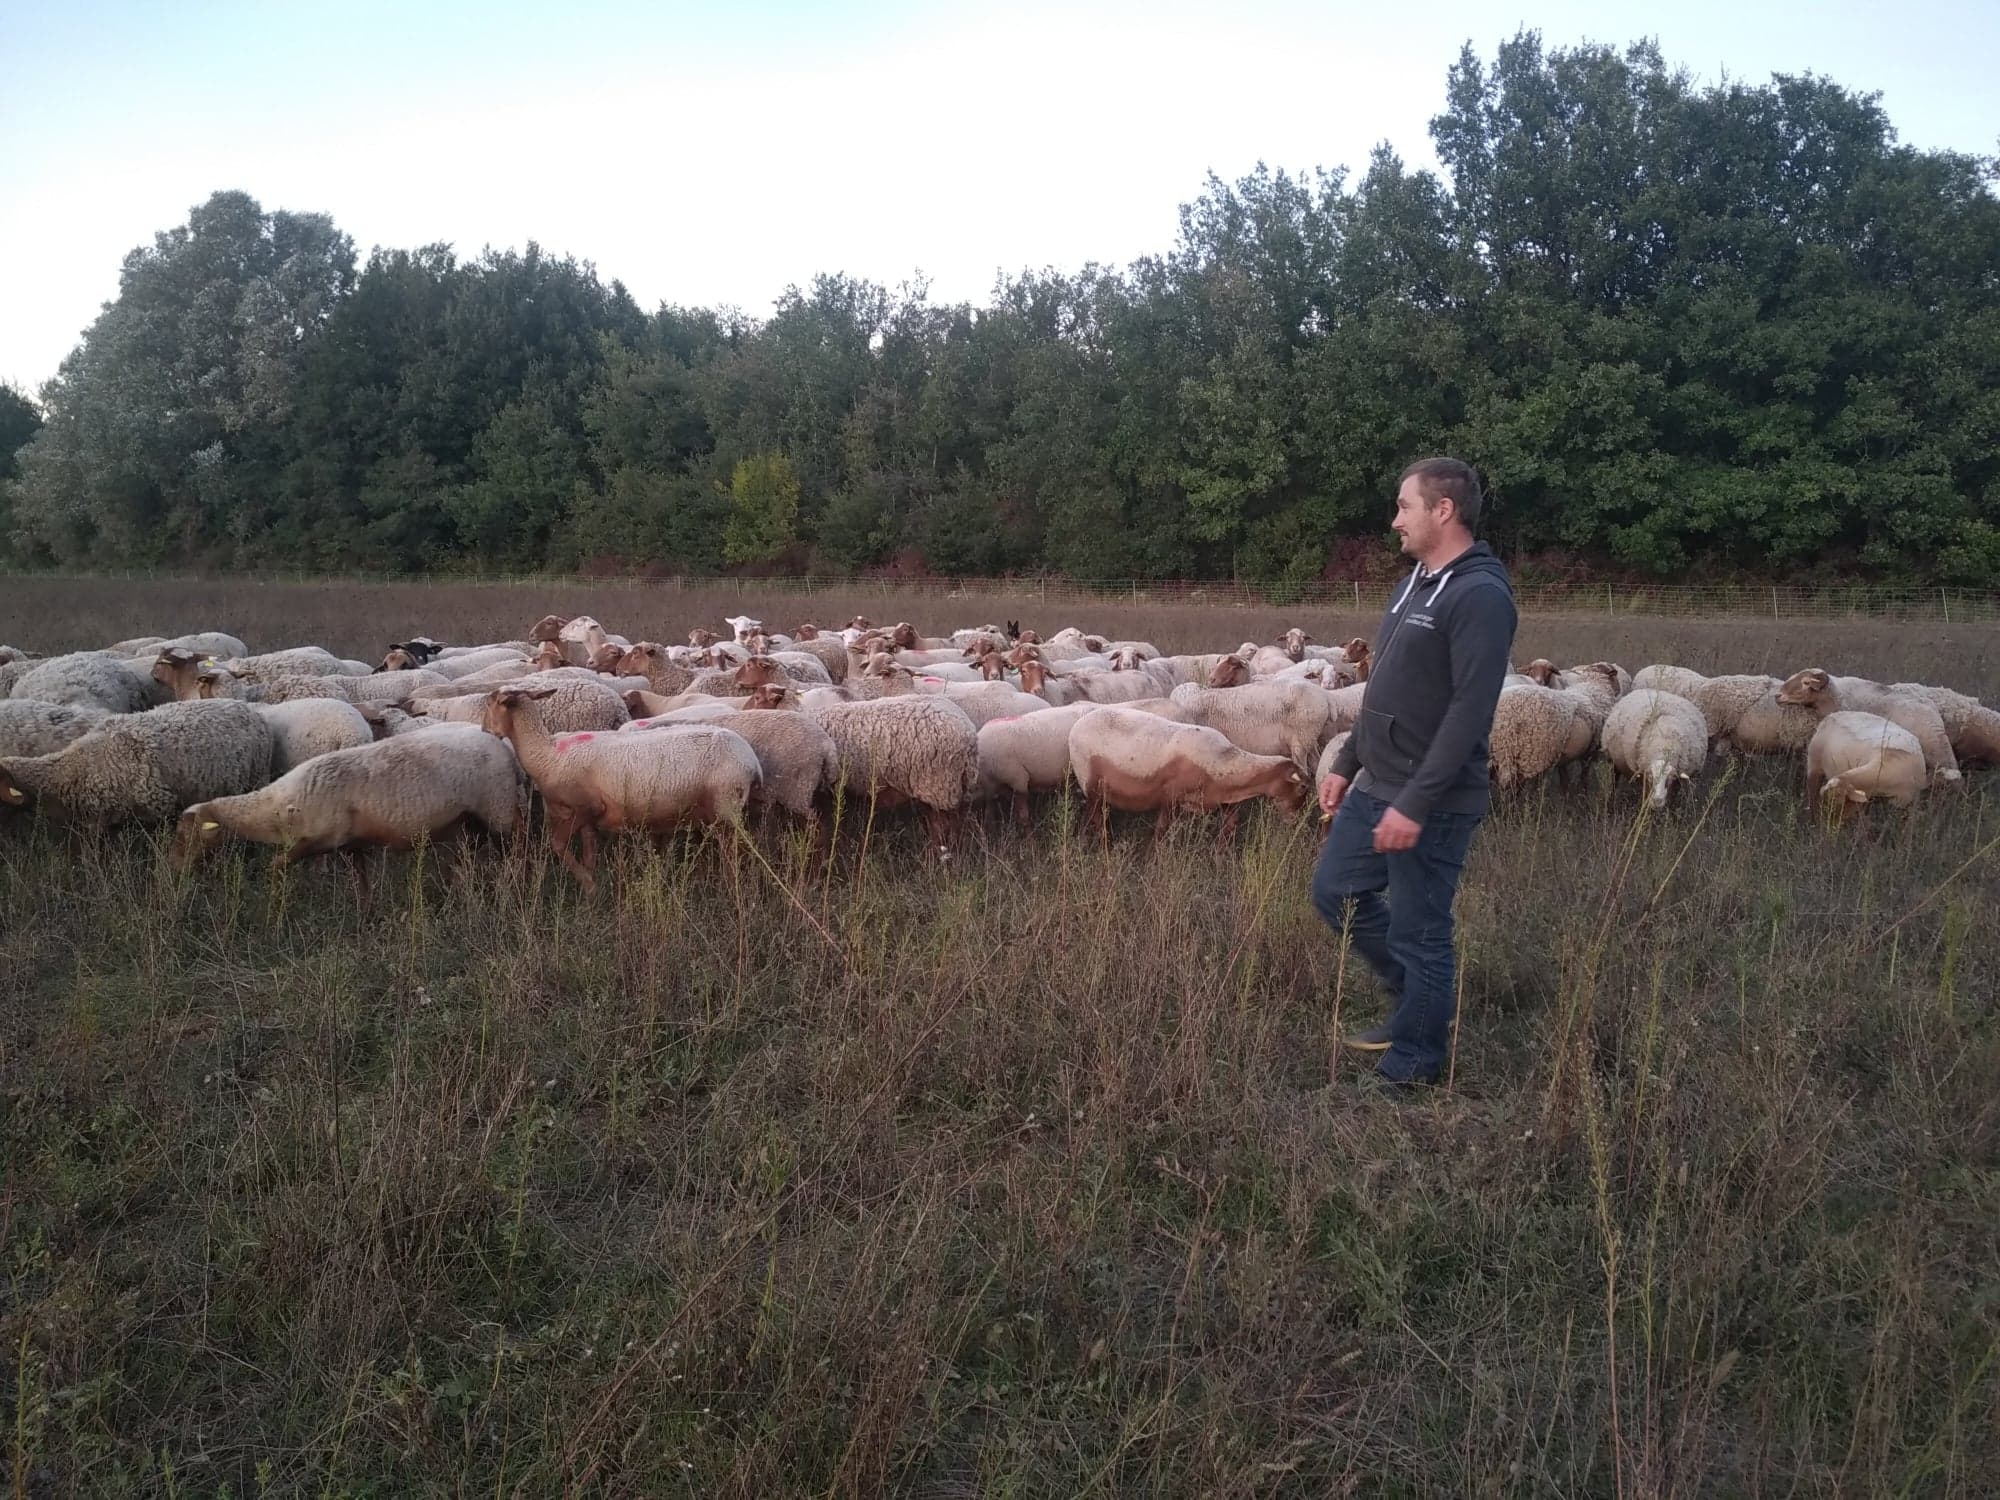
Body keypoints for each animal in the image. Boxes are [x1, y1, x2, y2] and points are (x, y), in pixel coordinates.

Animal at [175, 724, 528, 868]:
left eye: (187, 835)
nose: (176, 869)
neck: (274, 808)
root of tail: (502, 745)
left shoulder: (317, 841)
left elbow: (276, 867)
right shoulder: (352, 844)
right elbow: (362, 885)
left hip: (499, 812)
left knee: (517, 849)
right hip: (470, 821)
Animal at [480, 692, 760, 892]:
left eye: (490, 703)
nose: (483, 730)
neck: (546, 754)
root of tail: (751, 761)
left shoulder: (584, 807)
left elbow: (558, 845)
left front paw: (588, 884)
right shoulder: (590, 819)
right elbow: (590, 853)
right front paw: (591, 893)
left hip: (726, 807)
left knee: (736, 852)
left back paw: (731, 887)